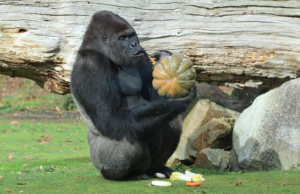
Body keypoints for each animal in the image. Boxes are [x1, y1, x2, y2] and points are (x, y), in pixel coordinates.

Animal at [71, 10, 196, 180]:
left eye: (131, 36)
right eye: (122, 38)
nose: (133, 44)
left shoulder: (142, 54)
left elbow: (155, 99)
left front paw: (163, 59)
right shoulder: (90, 66)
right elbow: (110, 119)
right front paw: (175, 103)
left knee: (170, 121)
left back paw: (156, 168)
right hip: (99, 162)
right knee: (125, 134)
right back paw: (129, 175)